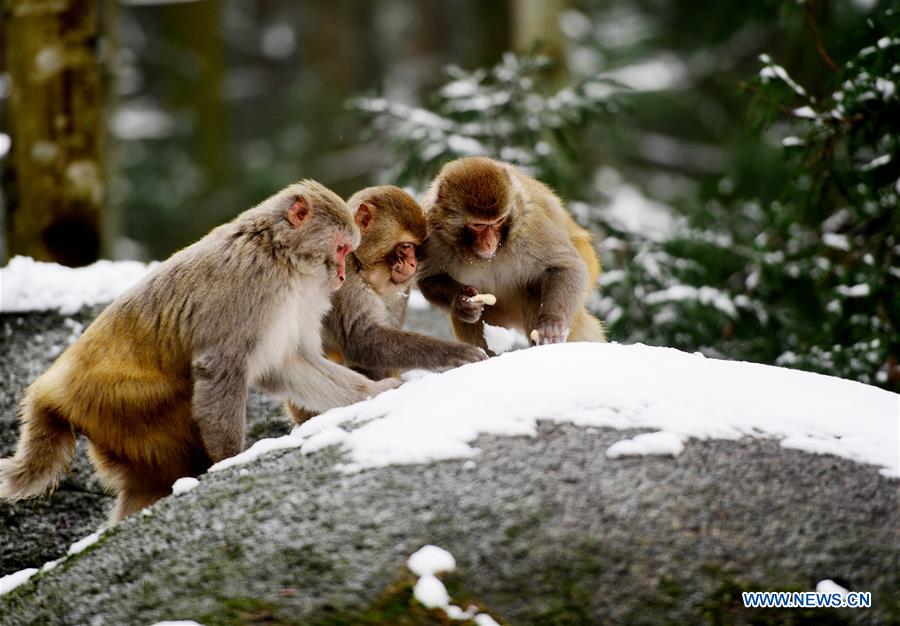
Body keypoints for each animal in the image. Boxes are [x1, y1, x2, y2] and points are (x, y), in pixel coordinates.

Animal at [0, 180, 398, 520]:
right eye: (342, 248)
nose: (343, 275)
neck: (277, 253)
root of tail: (52, 386)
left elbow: (289, 364)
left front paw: (377, 392)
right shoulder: (254, 288)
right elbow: (220, 366)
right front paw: (231, 460)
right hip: (123, 405)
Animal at [286, 183, 486, 422]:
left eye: (417, 248)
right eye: (406, 246)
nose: (413, 263)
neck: (363, 266)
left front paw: (464, 303)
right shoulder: (344, 278)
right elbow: (361, 339)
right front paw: (455, 353)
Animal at [416, 156, 604, 352]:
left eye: (498, 221)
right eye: (478, 225)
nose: (489, 242)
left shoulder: (530, 228)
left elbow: (566, 265)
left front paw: (552, 323)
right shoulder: (431, 232)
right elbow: (428, 278)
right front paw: (461, 302)